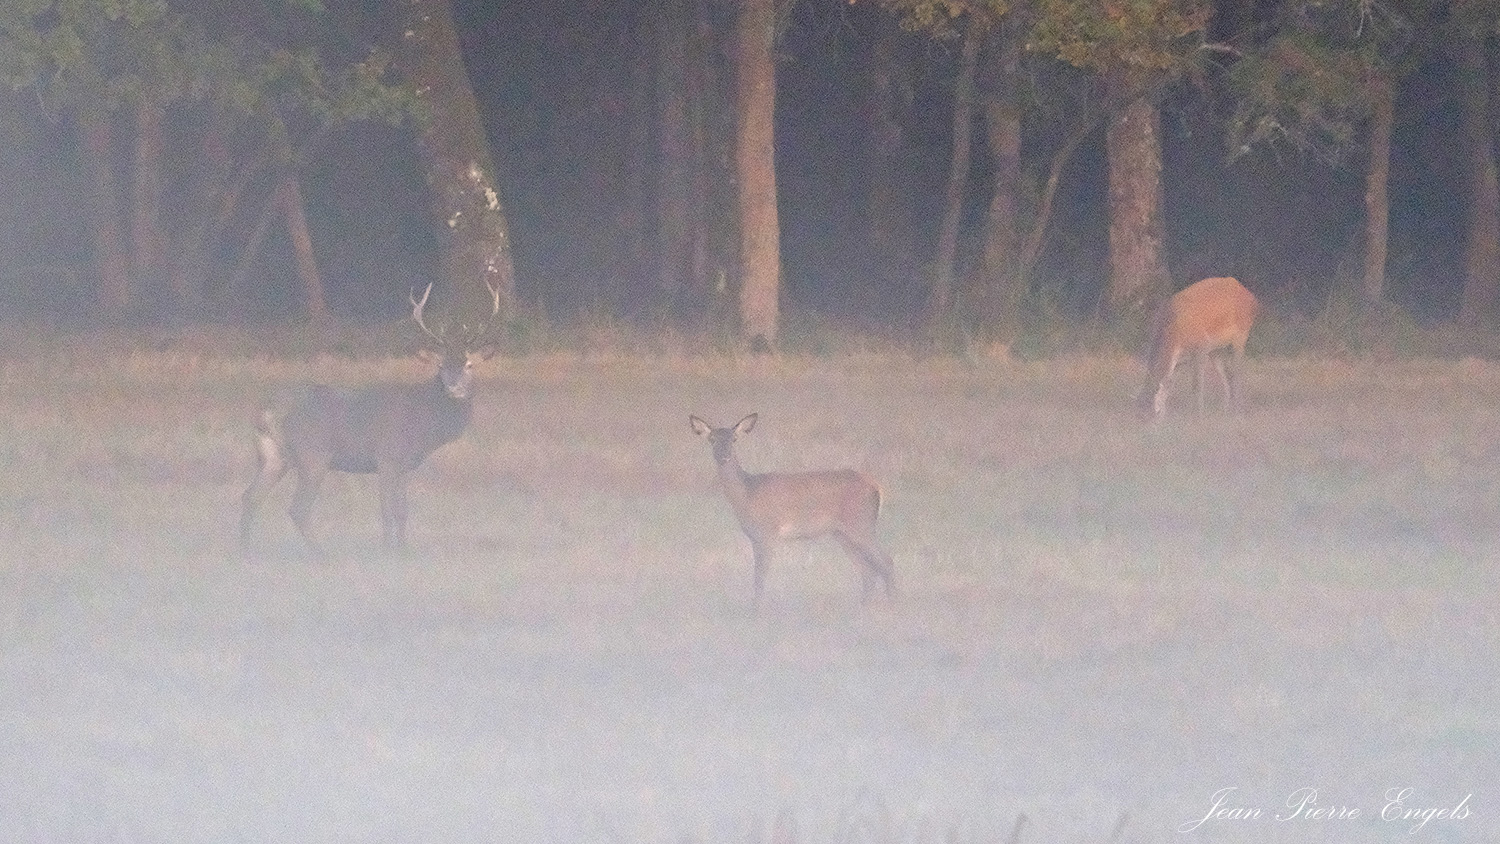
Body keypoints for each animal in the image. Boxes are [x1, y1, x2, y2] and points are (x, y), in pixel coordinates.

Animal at [239, 280, 499, 554]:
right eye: (440, 366)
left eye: (469, 364)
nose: (453, 388)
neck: (424, 423)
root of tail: (267, 412)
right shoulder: (387, 456)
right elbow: (387, 511)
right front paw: (386, 551)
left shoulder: (404, 465)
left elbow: (402, 511)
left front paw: (403, 549)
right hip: (313, 454)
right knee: (298, 508)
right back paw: (321, 554)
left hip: (273, 456)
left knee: (250, 497)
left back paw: (245, 551)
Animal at [690, 413, 895, 607]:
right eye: (712, 439)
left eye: (734, 439)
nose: (724, 456)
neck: (748, 493)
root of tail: (876, 486)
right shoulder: (756, 537)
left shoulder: (767, 534)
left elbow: (759, 579)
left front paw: (757, 612)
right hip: (843, 533)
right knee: (868, 571)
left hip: (861, 524)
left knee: (885, 562)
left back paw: (892, 605)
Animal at [1138, 276, 1259, 420]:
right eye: (1138, 412)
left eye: (1154, 411)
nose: (1152, 421)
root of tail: (1252, 298)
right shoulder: (1181, 358)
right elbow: (1169, 383)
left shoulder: (1202, 346)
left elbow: (1196, 384)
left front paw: (1198, 414)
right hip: (1216, 350)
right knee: (1226, 372)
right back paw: (1225, 410)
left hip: (1241, 333)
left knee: (1237, 371)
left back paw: (1237, 410)